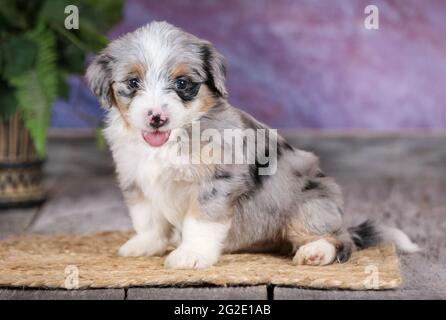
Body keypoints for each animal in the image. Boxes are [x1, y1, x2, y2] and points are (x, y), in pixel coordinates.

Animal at [86, 21, 418, 268]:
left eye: (182, 84)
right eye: (132, 83)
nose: (156, 118)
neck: (174, 137)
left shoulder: (219, 180)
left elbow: (201, 220)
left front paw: (191, 254)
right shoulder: (136, 178)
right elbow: (147, 218)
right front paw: (144, 244)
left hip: (309, 206)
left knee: (340, 241)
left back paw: (315, 252)